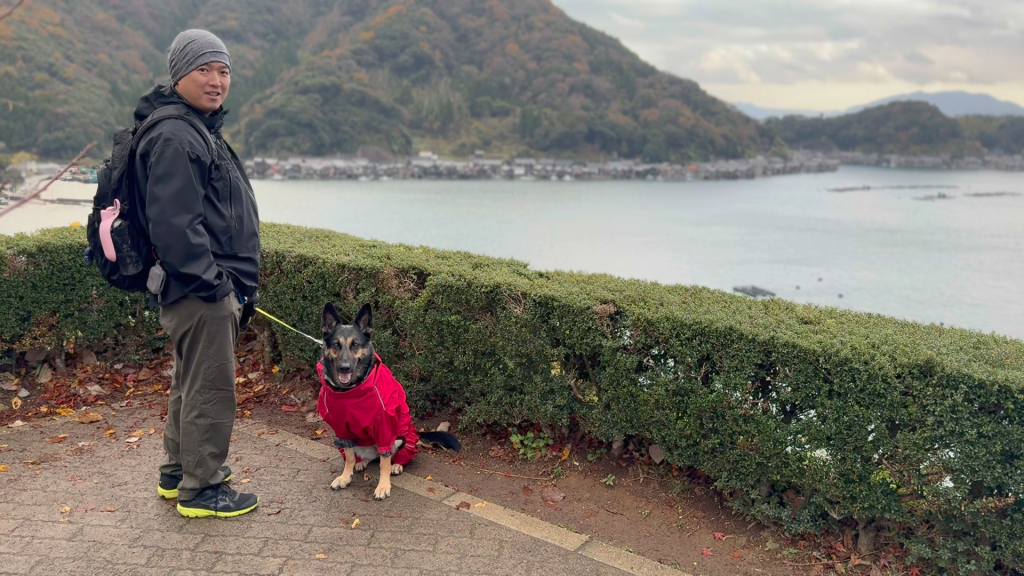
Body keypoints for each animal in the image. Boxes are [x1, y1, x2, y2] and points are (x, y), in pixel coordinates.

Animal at [316, 302, 460, 500]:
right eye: (336, 345)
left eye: (355, 345)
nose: (344, 367)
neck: (350, 392)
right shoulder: (342, 429)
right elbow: (349, 456)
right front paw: (346, 476)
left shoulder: (384, 427)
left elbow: (384, 461)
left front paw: (383, 486)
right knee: (365, 456)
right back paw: (362, 462)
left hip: (401, 438)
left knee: (391, 456)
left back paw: (396, 464)